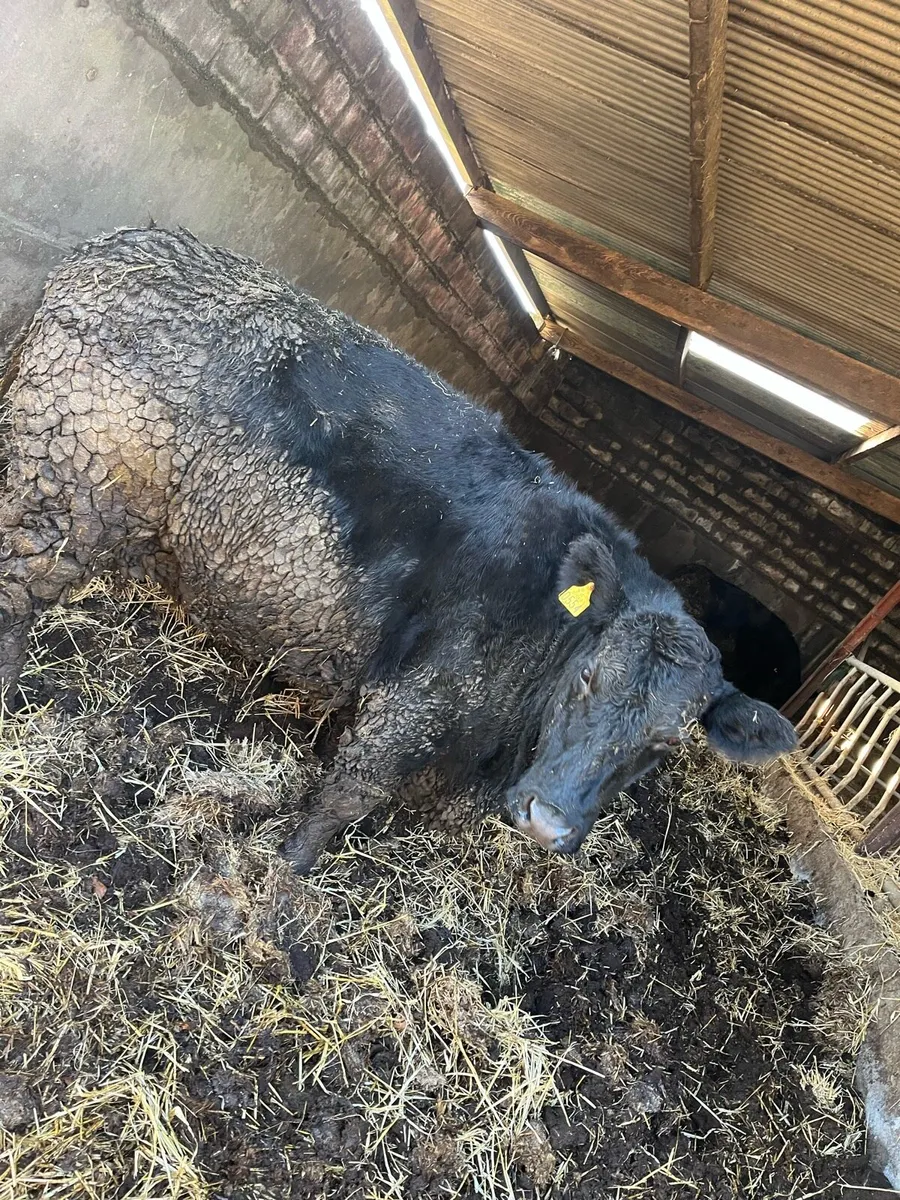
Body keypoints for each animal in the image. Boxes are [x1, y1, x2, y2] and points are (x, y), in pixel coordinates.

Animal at [0, 227, 797, 872]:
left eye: (665, 745)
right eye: (588, 680)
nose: (548, 823)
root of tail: (118, 245)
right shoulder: (414, 708)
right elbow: (347, 796)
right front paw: (284, 877)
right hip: (62, 492)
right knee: (16, 588)